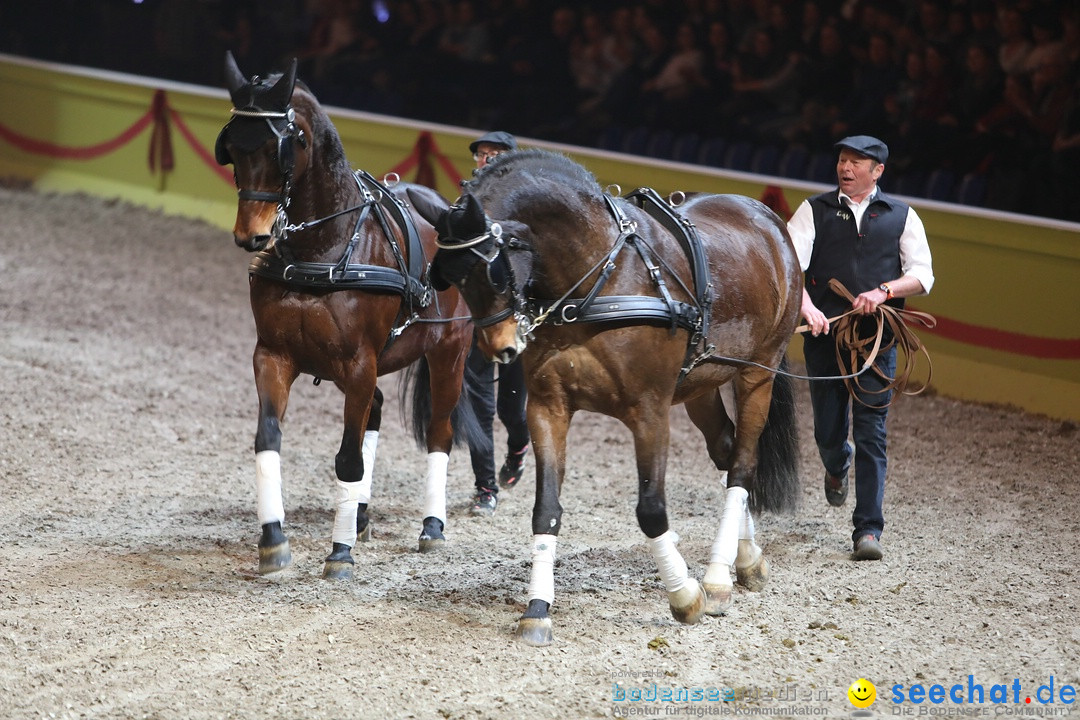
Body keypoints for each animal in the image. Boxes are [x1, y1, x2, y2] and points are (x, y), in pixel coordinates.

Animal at [214, 50, 477, 578]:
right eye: (231, 146)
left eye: (281, 145)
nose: (252, 235)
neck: (322, 248)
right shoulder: (273, 355)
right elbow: (268, 438)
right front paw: (273, 540)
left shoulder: (358, 362)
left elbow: (348, 460)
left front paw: (339, 552)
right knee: (374, 410)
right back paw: (358, 514)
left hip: (448, 353)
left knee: (438, 432)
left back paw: (431, 526)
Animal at [408, 148, 807, 643]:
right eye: (452, 278)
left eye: (494, 271)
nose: (499, 347)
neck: (598, 279)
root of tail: (765, 216)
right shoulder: (548, 408)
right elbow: (546, 509)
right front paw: (537, 609)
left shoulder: (650, 412)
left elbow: (651, 509)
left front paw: (684, 596)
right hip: (700, 385)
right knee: (727, 451)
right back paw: (747, 559)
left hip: (757, 375)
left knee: (743, 466)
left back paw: (717, 577)